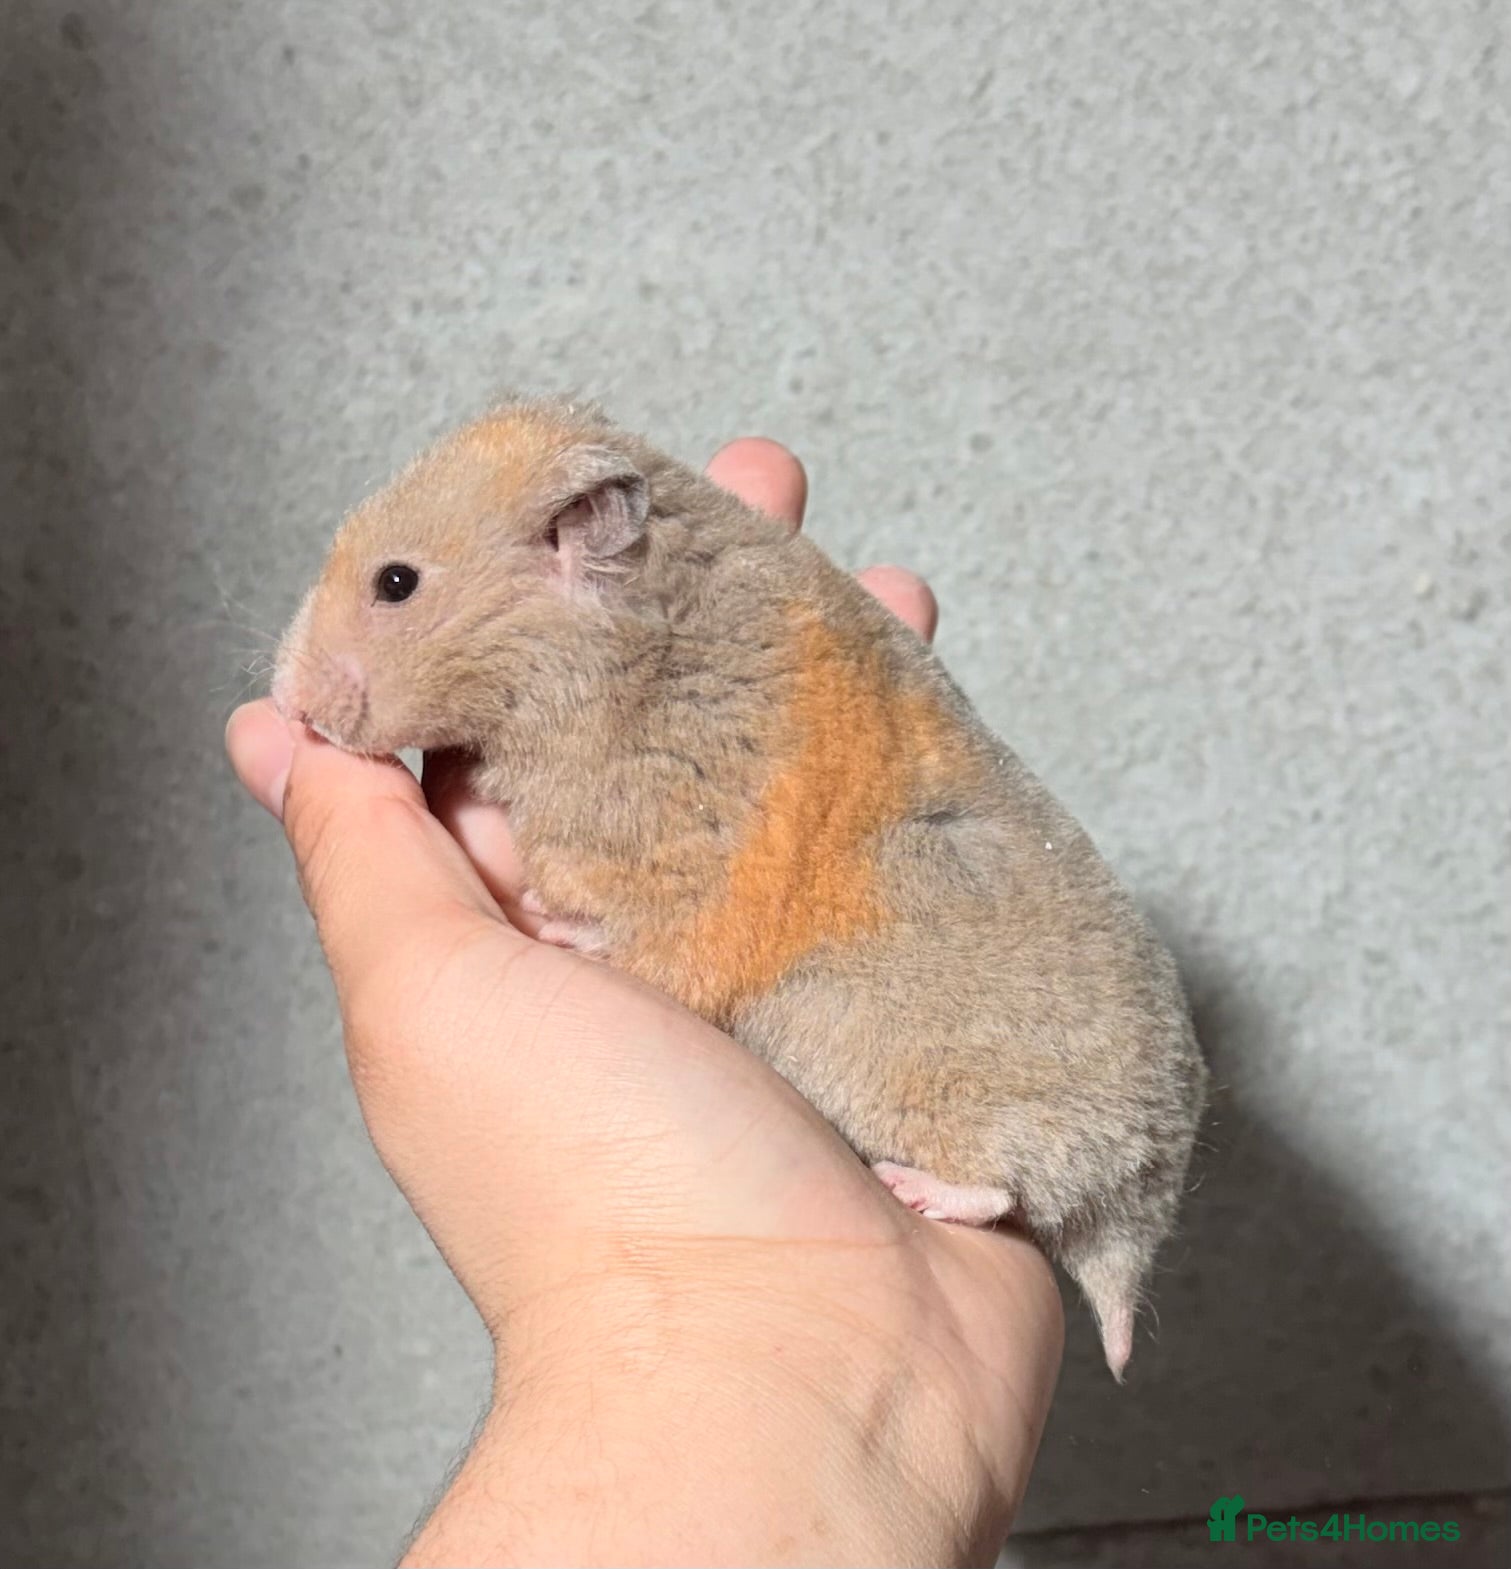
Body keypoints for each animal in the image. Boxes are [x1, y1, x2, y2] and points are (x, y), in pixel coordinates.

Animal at [273, 396, 1208, 1378]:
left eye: (397, 582)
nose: (283, 703)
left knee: (1001, 1188)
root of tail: (1141, 1208)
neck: (611, 653)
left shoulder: (674, 870)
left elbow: (643, 940)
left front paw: (557, 929)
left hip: (859, 1040)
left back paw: (909, 1188)